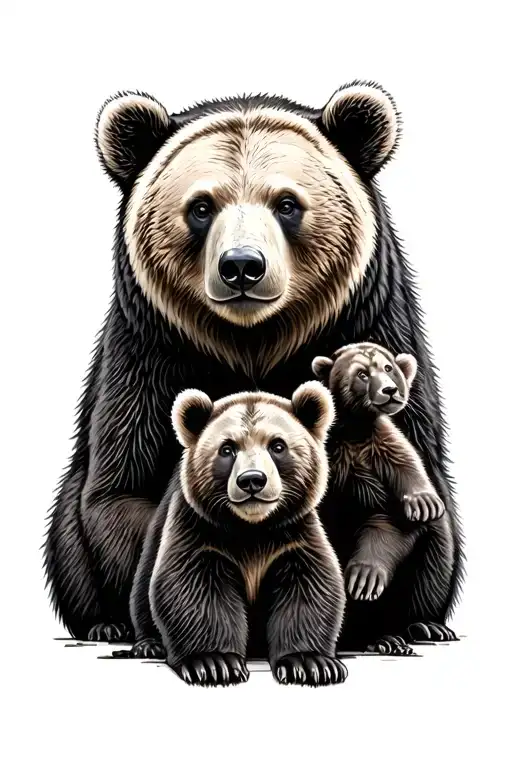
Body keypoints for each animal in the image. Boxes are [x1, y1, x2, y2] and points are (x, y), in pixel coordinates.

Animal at [127, 383, 347, 686]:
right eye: (227, 448)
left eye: (278, 446)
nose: (252, 480)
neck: (252, 529)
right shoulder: (198, 525)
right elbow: (190, 584)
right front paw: (214, 662)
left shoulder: (292, 532)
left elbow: (309, 583)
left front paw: (309, 663)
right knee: (143, 585)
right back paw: (149, 644)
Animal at [312, 343, 450, 653]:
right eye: (362, 373)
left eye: (389, 368)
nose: (389, 390)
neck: (355, 430)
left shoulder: (383, 449)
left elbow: (397, 518)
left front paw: (365, 575)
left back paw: (418, 627)